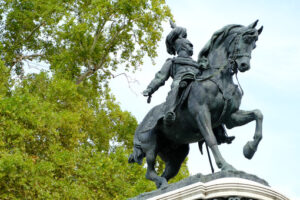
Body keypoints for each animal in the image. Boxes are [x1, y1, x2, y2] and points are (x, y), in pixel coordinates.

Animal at [128, 21, 262, 188]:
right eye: (246, 39)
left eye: (254, 45)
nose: (244, 65)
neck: (219, 79)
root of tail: (141, 123)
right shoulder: (201, 114)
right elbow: (210, 139)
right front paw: (225, 166)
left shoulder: (230, 117)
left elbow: (258, 114)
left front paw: (249, 149)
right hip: (150, 145)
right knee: (149, 171)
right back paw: (162, 183)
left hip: (176, 154)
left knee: (167, 172)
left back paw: (165, 184)